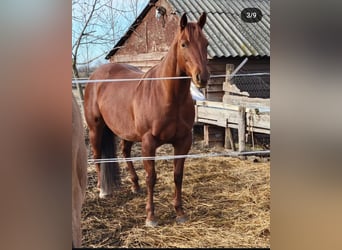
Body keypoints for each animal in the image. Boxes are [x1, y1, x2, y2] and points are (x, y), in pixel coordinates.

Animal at [84, 12, 210, 227]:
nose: (202, 77)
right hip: (95, 129)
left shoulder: (183, 141)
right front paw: (151, 217)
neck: (167, 95)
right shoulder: (148, 143)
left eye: (206, 43)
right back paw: (102, 190)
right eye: (184, 44)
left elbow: (178, 176)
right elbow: (152, 177)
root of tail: (95, 77)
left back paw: (135, 185)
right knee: (97, 155)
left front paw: (180, 212)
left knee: (124, 152)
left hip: (126, 132)